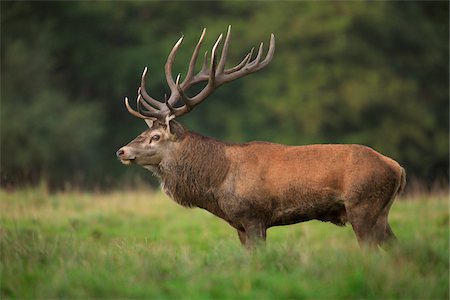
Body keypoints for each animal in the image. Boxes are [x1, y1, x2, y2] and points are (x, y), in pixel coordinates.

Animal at [118, 26, 406, 248]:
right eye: (144, 132)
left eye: (156, 136)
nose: (121, 151)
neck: (218, 180)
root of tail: (397, 168)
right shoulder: (239, 225)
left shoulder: (254, 215)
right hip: (381, 212)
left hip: (362, 206)